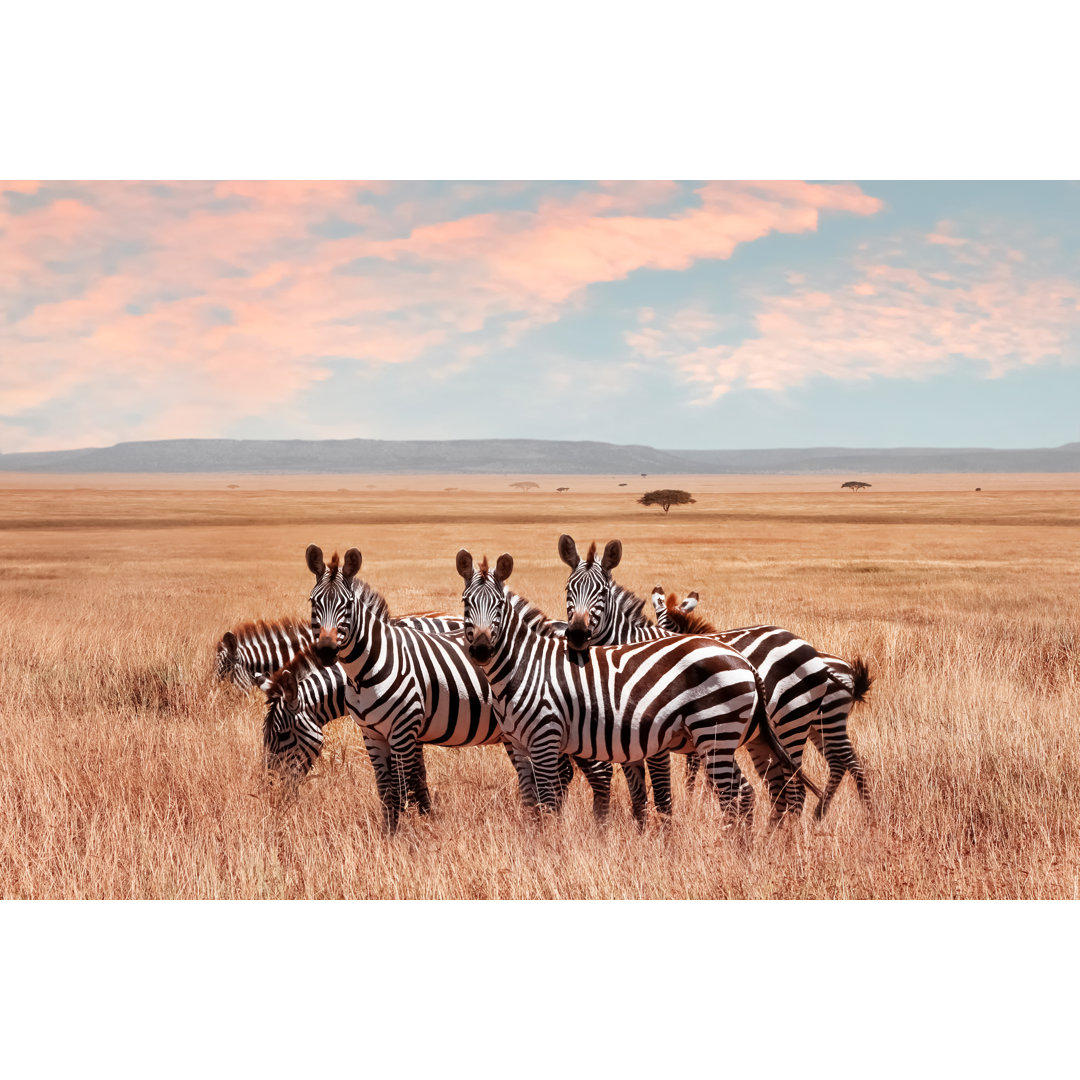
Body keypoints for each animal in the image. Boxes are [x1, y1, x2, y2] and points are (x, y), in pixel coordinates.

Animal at [304, 544, 617, 829]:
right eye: (313, 602)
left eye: (347, 605)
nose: (326, 652)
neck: (368, 667)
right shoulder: (372, 734)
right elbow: (388, 790)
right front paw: (390, 834)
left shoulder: (405, 729)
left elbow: (403, 787)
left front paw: (407, 835)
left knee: (596, 773)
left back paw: (597, 827)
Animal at [453, 548, 816, 816]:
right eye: (466, 603)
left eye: (499, 605)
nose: (481, 650)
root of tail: (746, 663)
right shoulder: (524, 742)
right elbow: (539, 803)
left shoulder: (554, 738)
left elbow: (553, 804)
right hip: (745, 738)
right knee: (762, 790)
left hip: (756, 729)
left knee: (767, 791)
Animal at [561, 535, 829, 820]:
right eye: (568, 589)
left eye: (602, 592)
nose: (577, 634)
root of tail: (803, 643)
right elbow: (640, 792)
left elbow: (663, 790)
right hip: (764, 735)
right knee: (778, 788)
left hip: (791, 723)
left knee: (795, 790)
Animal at [652, 591, 872, 816]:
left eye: (668, 626)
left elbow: (695, 769)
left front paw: (696, 801)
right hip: (817, 724)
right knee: (839, 762)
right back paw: (822, 814)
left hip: (823, 720)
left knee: (849, 763)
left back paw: (867, 814)